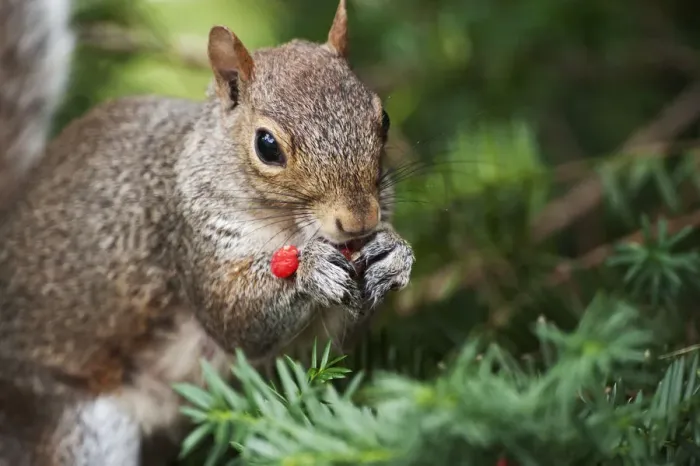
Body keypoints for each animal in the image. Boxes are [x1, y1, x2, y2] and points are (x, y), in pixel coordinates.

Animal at [0, 0, 415, 464]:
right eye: (267, 146)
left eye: (383, 118)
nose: (359, 220)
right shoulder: (189, 237)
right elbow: (234, 318)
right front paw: (310, 269)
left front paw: (394, 254)